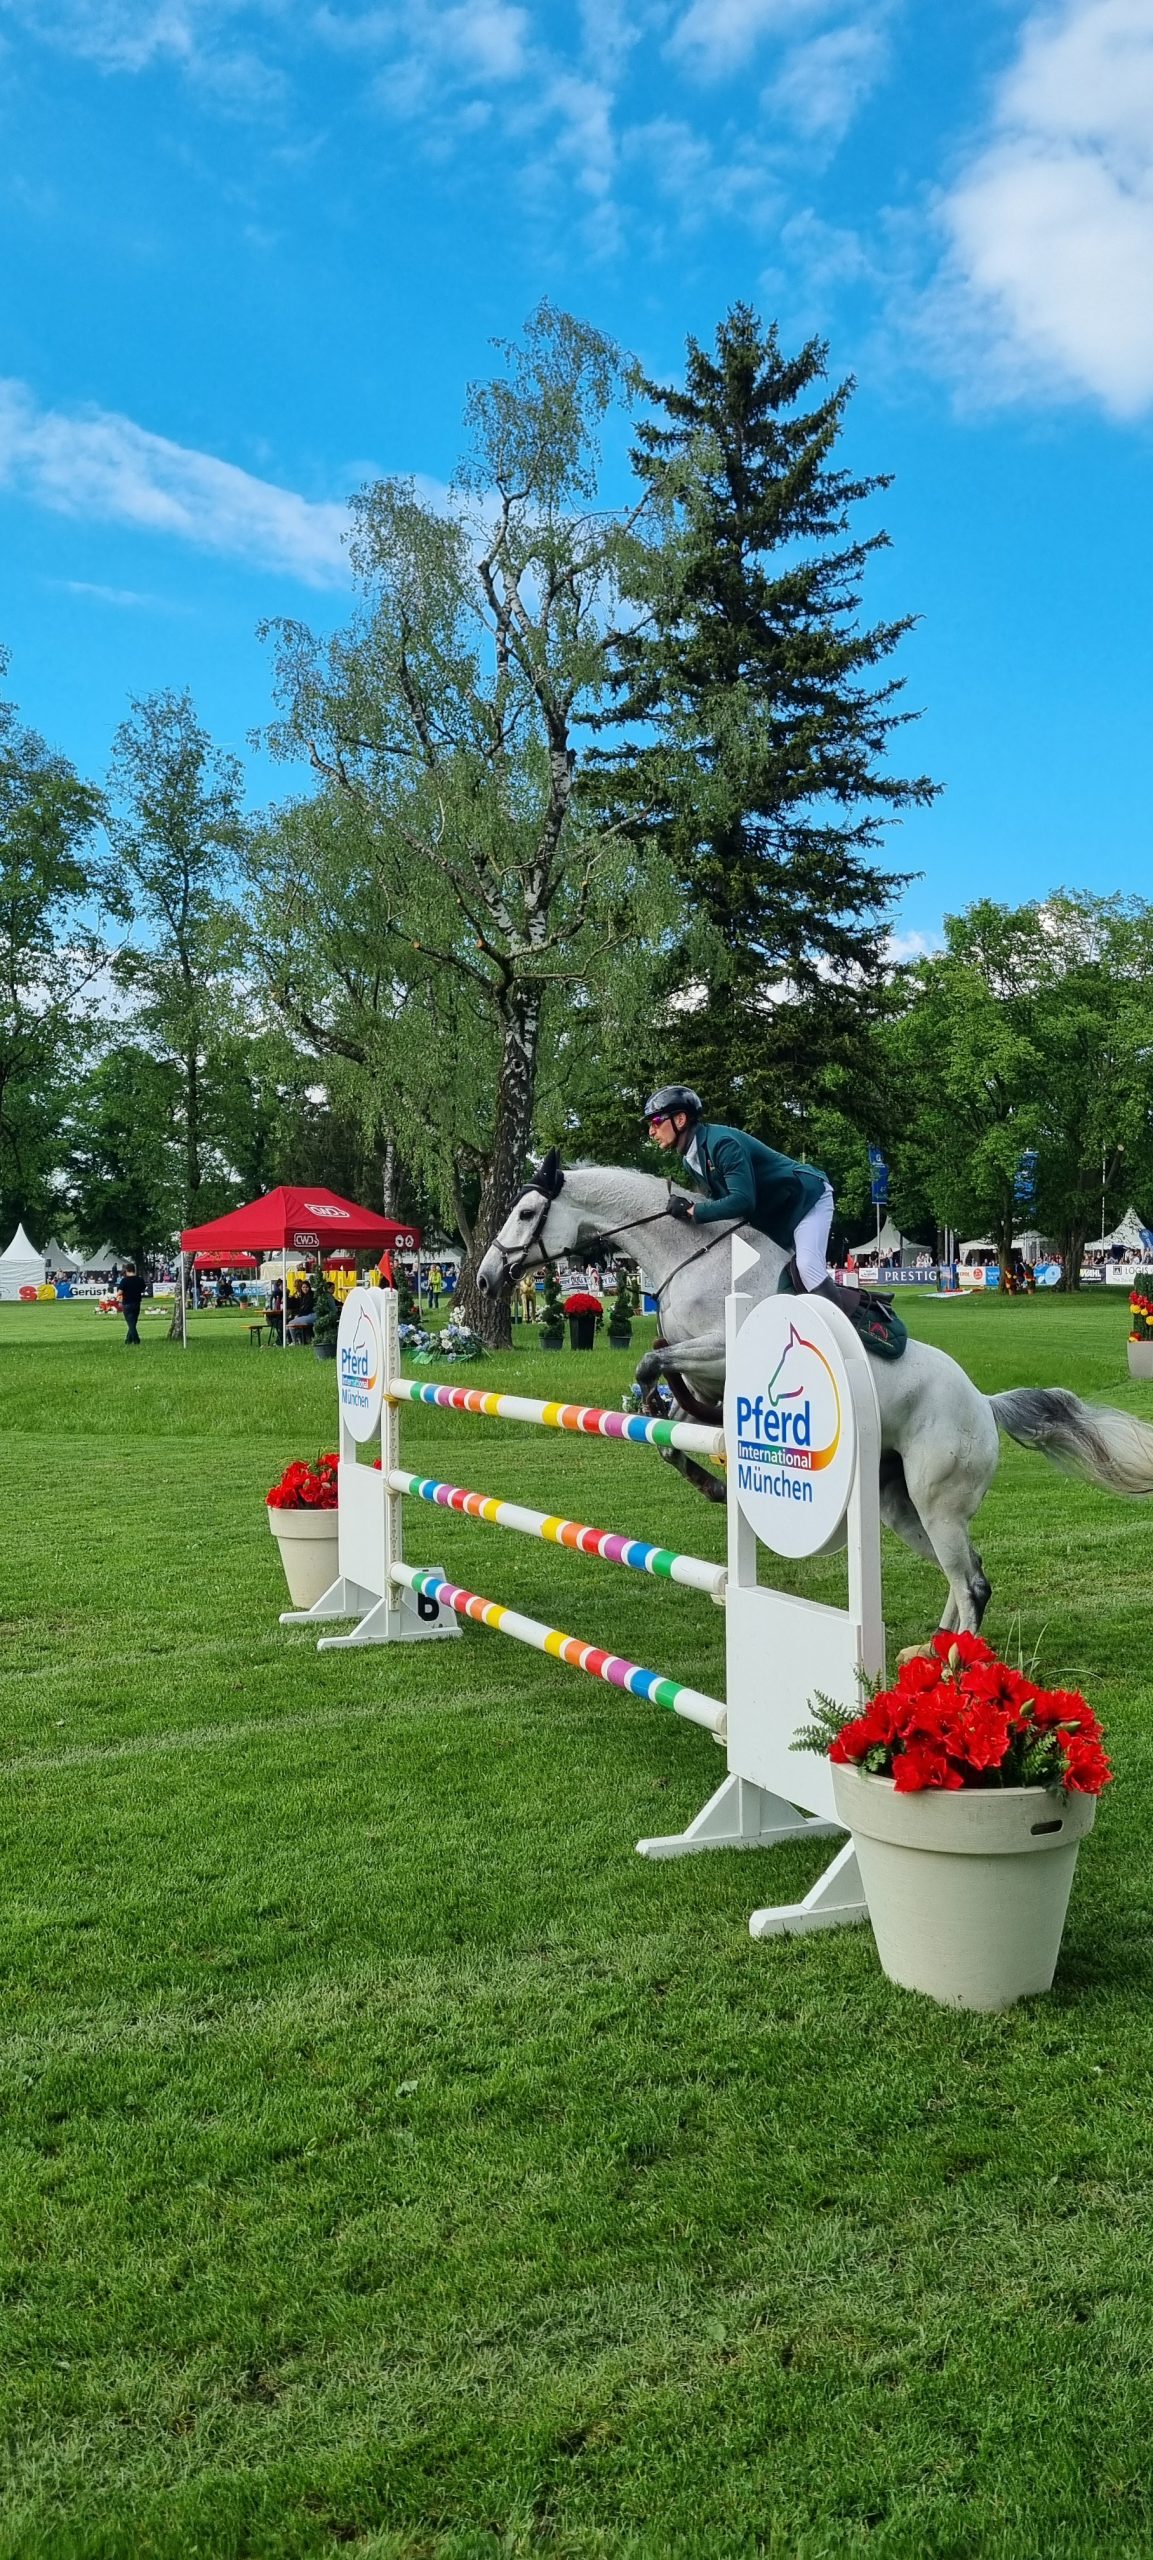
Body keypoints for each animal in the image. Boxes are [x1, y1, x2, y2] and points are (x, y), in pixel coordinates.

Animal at [476, 1154, 1153, 1636]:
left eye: (526, 1211)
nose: (484, 1278)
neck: (693, 1258)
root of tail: (983, 1405)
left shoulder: (724, 1351)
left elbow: (653, 1362)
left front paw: (682, 1439)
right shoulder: (702, 1369)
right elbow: (671, 1407)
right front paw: (701, 1468)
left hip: (939, 1501)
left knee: (973, 1585)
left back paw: (954, 1674)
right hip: (902, 1504)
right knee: (963, 1575)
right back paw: (932, 1655)